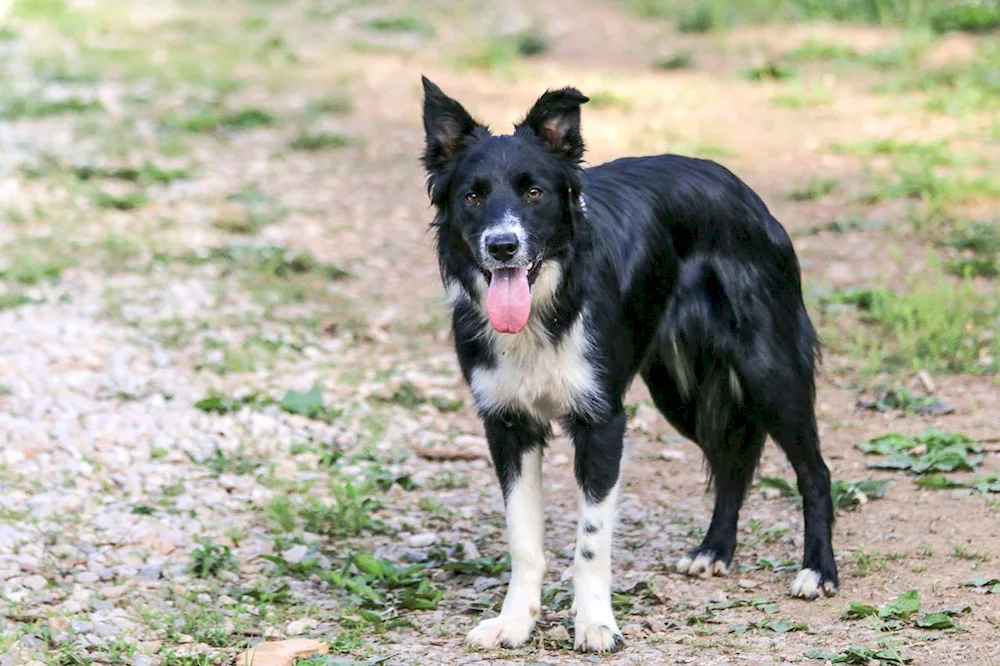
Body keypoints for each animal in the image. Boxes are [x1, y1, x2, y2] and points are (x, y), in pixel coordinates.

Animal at [418, 75, 840, 652]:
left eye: (534, 192)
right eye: (472, 196)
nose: (503, 246)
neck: (548, 306)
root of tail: (739, 186)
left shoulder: (602, 423)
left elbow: (591, 542)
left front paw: (596, 624)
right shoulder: (507, 425)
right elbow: (524, 538)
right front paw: (514, 622)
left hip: (768, 368)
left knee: (814, 471)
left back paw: (818, 571)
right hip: (677, 388)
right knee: (732, 463)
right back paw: (714, 550)